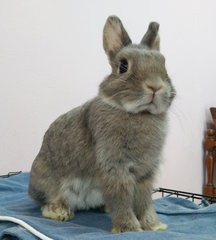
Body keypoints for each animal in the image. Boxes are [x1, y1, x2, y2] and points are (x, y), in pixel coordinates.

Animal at [28, 15, 176, 232]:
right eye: (123, 66)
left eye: (164, 64)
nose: (155, 86)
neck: (138, 113)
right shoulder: (115, 167)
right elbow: (122, 199)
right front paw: (129, 228)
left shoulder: (145, 173)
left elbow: (144, 201)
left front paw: (154, 226)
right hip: (46, 177)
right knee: (48, 199)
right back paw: (59, 211)